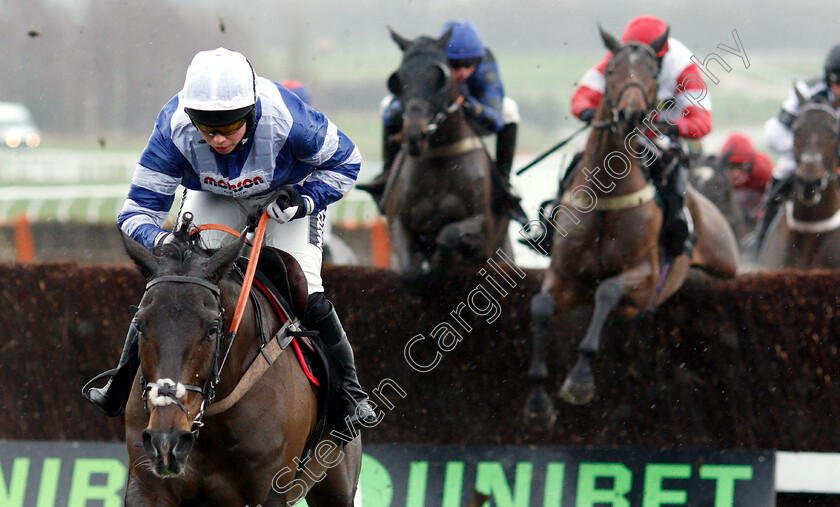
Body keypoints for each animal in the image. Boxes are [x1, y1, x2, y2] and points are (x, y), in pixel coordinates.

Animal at [122, 224, 360, 506]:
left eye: (213, 328)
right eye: (139, 324)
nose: (166, 439)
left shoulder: (271, 492)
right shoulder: (147, 487)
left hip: (337, 485)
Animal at [520, 25, 740, 426]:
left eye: (653, 73)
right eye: (611, 69)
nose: (630, 113)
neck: (607, 195)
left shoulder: (645, 279)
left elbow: (607, 292)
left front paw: (579, 381)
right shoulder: (564, 275)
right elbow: (541, 307)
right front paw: (539, 402)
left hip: (724, 262)